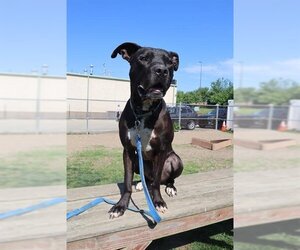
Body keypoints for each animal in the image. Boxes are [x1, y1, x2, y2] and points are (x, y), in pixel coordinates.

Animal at [108, 42, 183, 218]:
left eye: (169, 62)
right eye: (143, 58)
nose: (162, 70)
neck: (143, 112)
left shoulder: (162, 151)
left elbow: (155, 183)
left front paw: (158, 202)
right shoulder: (128, 151)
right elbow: (127, 181)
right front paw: (121, 205)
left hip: (176, 160)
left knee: (163, 180)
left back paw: (170, 187)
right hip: (137, 159)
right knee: (147, 178)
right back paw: (141, 184)